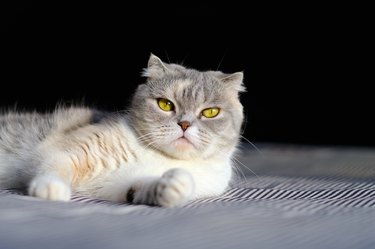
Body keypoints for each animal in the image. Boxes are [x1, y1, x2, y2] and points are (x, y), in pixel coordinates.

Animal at [0, 54, 247, 208]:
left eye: (211, 112)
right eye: (165, 104)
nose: (184, 124)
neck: (160, 158)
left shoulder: (122, 186)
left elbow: (146, 188)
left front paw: (173, 185)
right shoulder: (66, 148)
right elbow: (54, 166)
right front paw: (51, 188)